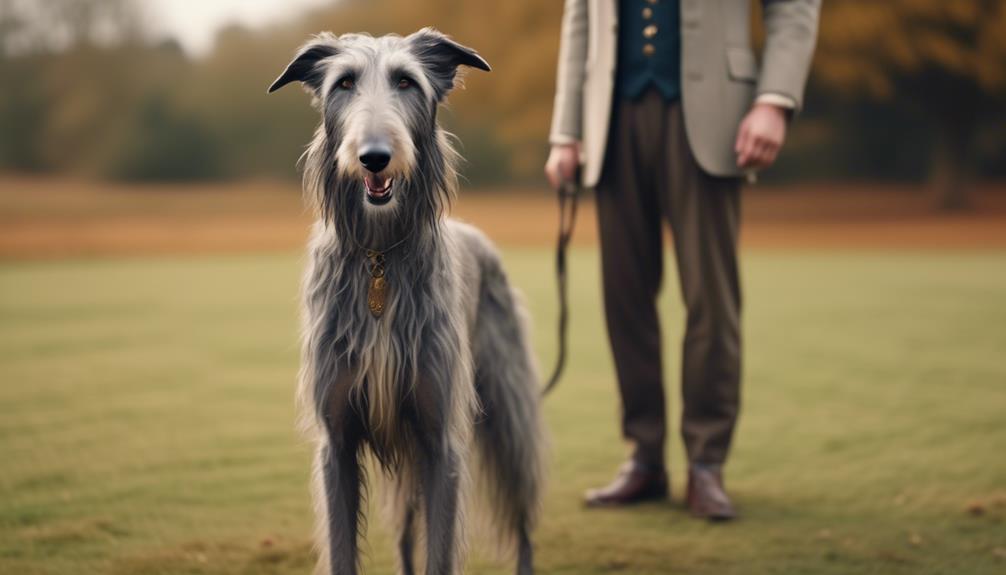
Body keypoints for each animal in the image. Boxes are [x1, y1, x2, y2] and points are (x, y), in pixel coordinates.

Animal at [269, 28, 543, 575]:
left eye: (406, 81)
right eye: (344, 82)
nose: (374, 156)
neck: (379, 256)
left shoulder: (440, 442)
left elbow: (441, 549)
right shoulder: (337, 443)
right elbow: (342, 548)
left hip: (508, 416)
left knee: (521, 515)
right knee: (404, 532)